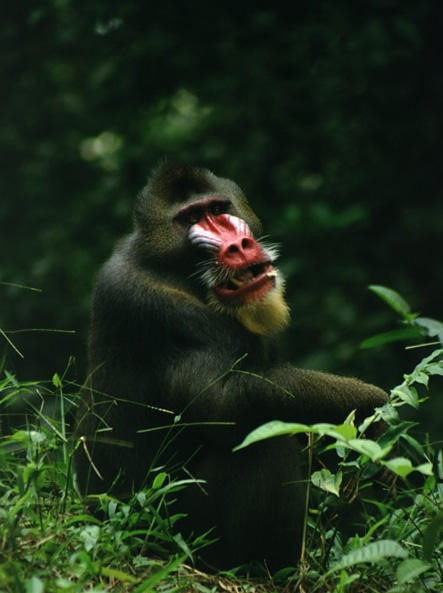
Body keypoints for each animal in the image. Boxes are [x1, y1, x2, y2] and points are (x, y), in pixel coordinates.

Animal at [75, 161, 388, 568]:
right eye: (191, 218)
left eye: (217, 208)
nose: (238, 246)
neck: (178, 272)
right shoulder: (158, 309)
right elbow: (223, 404)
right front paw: (371, 406)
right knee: (265, 441)